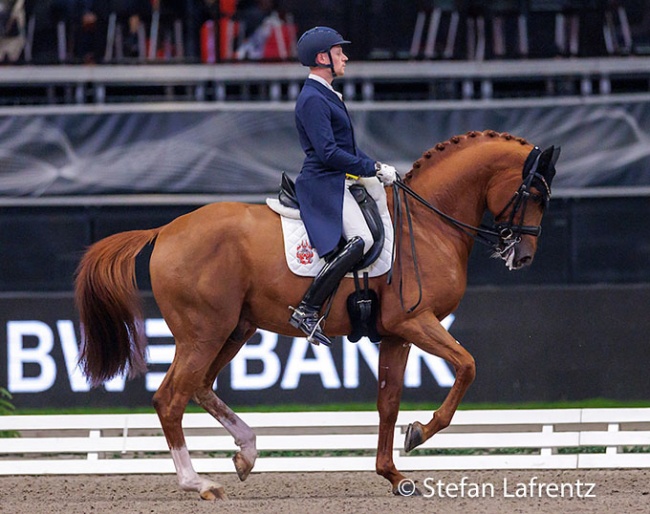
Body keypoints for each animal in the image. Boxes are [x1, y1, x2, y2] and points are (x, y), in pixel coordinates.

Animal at [74, 130, 556, 498]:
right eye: (533, 194)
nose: (524, 257)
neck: (426, 222)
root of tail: (166, 229)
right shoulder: (416, 321)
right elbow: (467, 366)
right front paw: (420, 432)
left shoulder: (397, 334)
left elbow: (388, 402)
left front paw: (394, 475)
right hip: (203, 333)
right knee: (171, 398)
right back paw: (199, 483)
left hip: (234, 329)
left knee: (199, 388)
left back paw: (247, 452)